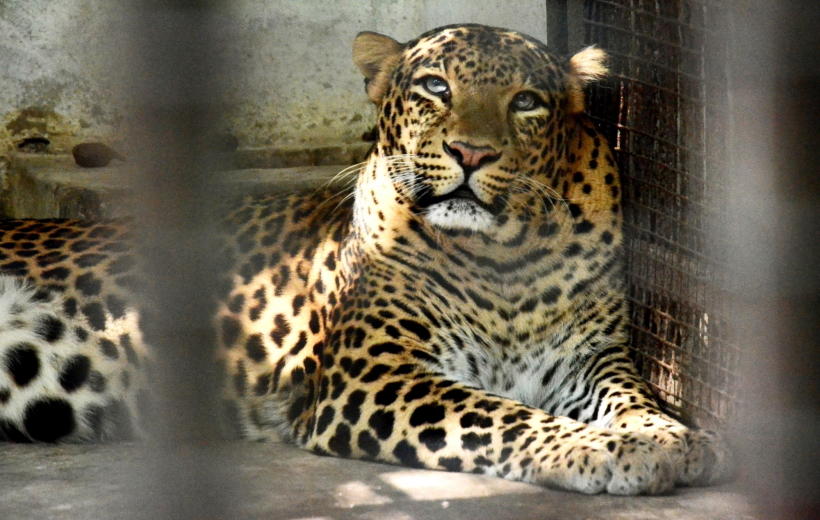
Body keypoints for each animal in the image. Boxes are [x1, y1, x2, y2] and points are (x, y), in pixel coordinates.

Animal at [0, 24, 733, 495]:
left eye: (526, 101)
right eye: (436, 87)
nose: (471, 152)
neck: (503, 257)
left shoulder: (587, 356)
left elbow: (630, 393)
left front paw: (665, 435)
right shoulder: (372, 376)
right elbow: (500, 415)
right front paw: (597, 449)